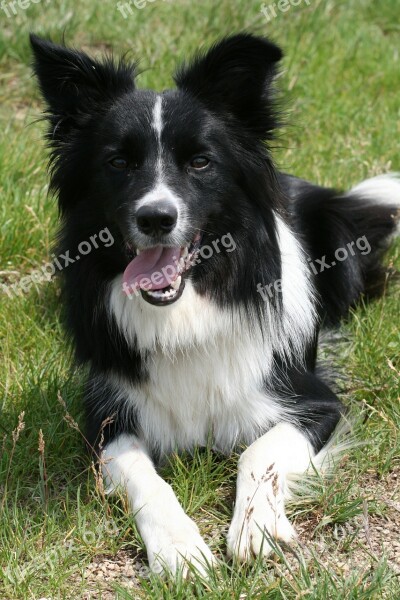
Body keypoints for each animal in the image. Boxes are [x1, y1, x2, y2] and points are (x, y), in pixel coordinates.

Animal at [29, 32, 398, 576]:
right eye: (118, 162)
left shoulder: (315, 403)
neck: (185, 312)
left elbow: (258, 452)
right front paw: (179, 548)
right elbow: (143, 474)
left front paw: (255, 528)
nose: (156, 217)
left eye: (200, 161)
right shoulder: (106, 417)